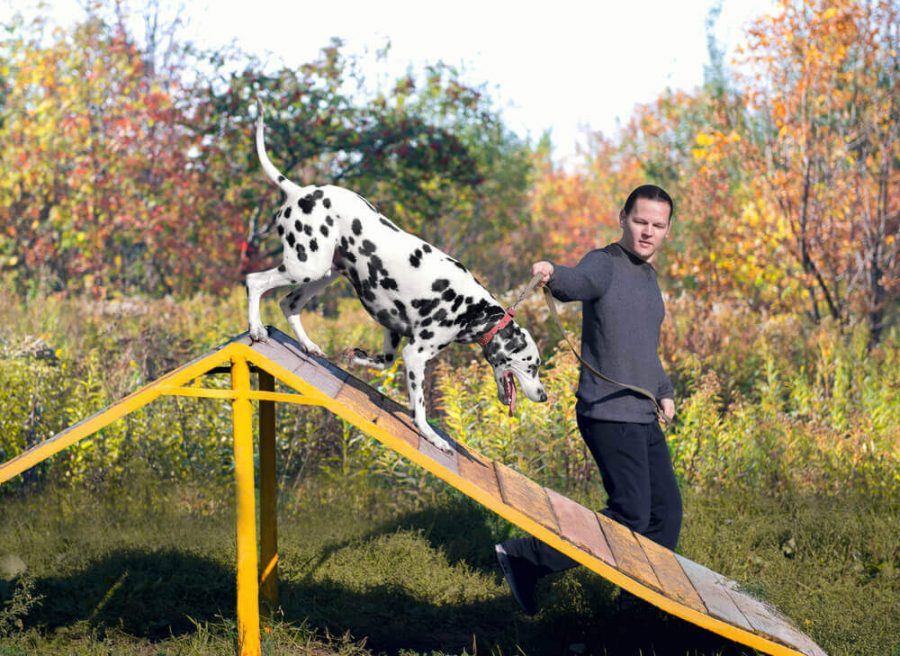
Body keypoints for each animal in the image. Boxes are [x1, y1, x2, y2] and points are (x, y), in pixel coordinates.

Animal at [244, 102, 548, 454]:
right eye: (532, 365)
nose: (544, 396)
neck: (472, 309)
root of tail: (299, 191)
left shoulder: (393, 332)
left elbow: (383, 362)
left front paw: (357, 358)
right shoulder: (415, 354)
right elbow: (420, 407)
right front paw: (431, 436)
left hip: (322, 274)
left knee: (289, 304)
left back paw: (308, 345)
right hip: (305, 267)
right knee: (254, 282)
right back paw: (256, 329)